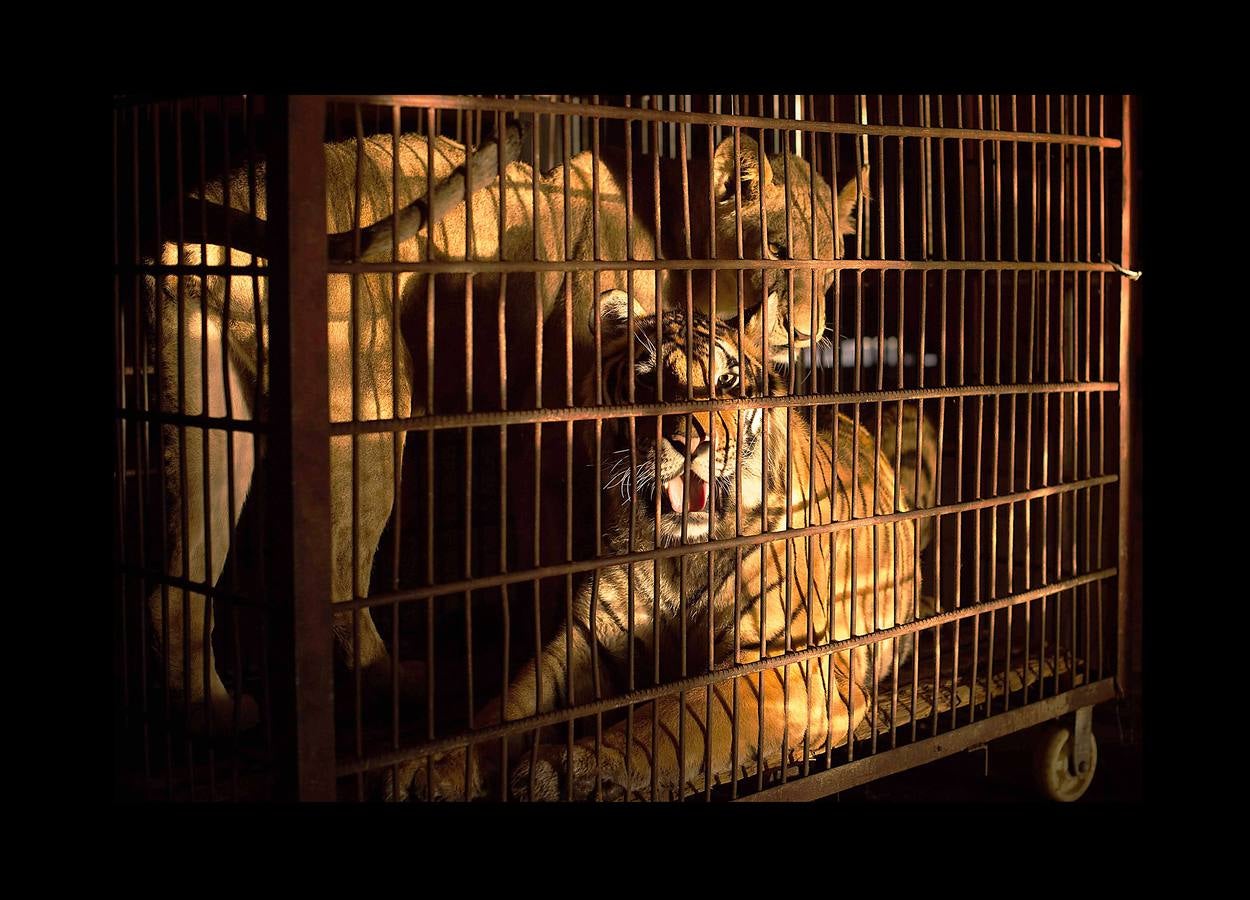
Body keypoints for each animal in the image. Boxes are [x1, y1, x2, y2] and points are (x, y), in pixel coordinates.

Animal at [143, 114, 864, 741]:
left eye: (833, 269)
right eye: (778, 251)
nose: (807, 334)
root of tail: (225, 192)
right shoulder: (548, 416)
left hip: (209, 410)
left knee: (173, 589)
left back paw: (211, 712)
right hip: (371, 402)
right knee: (339, 575)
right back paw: (403, 684)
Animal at [389, 289, 934, 800]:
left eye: (727, 382)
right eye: (649, 381)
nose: (691, 443)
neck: (679, 553)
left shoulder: (784, 660)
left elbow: (673, 716)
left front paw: (567, 767)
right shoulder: (588, 639)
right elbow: (513, 705)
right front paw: (433, 765)